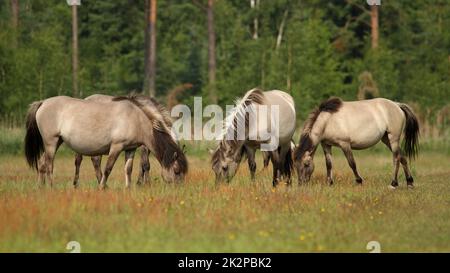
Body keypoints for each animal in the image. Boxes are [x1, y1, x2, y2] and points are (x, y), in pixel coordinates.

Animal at [25, 94, 186, 188]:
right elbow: (109, 168)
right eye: (176, 171)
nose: (179, 189)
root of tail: (42, 102)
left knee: (42, 163)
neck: (136, 118)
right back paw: (52, 187)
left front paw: (128, 188)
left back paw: (41, 187)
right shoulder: (116, 147)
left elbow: (128, 169)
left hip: (57, 142)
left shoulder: (131, 149)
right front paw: (102, 187)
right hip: (51, 142)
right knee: (50, 165)